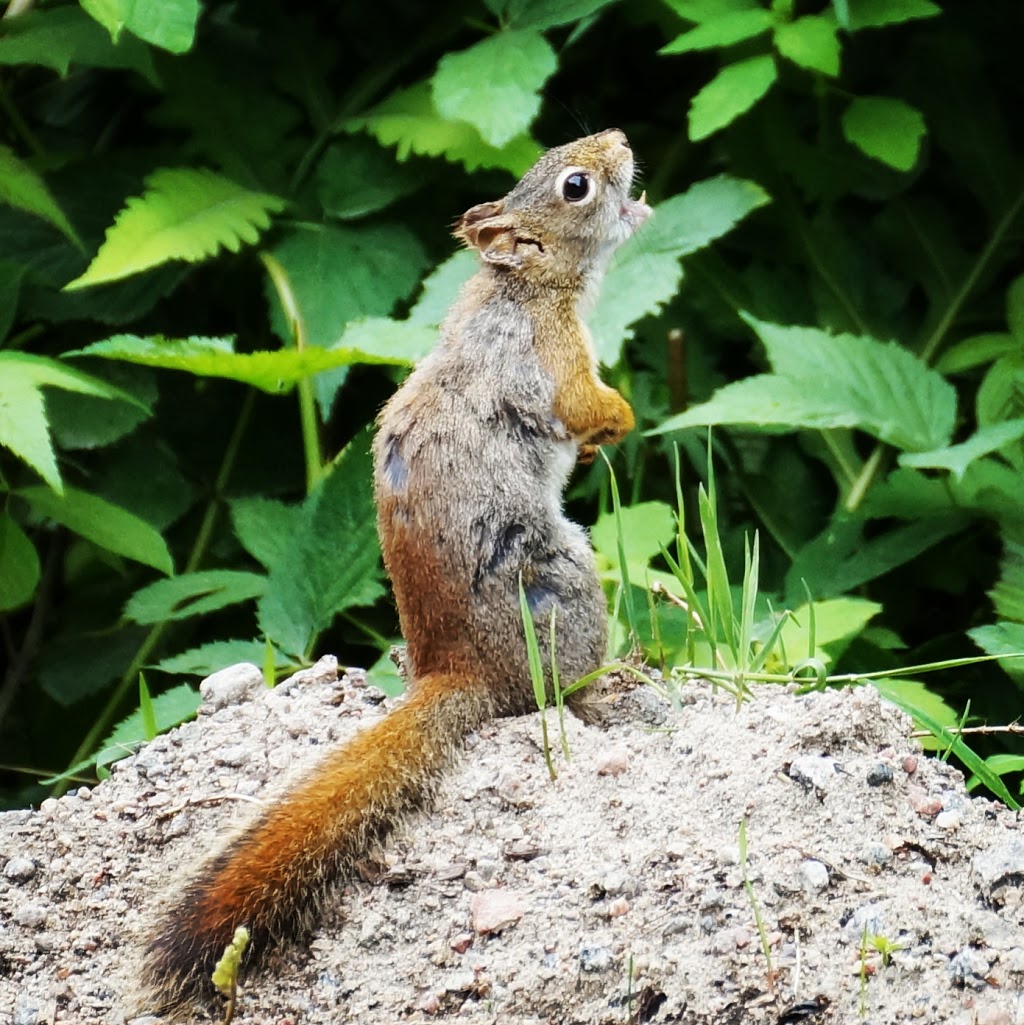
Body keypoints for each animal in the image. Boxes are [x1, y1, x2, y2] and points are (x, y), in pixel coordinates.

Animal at [142, 128, 647, 1008]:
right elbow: (586, 404)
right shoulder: (554, 355)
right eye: (576, 185)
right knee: (560, 695)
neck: (523, 284)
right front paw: (616, 420)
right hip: (563, 584)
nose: (618, 140)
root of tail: (458, 671)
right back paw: (613, 684)